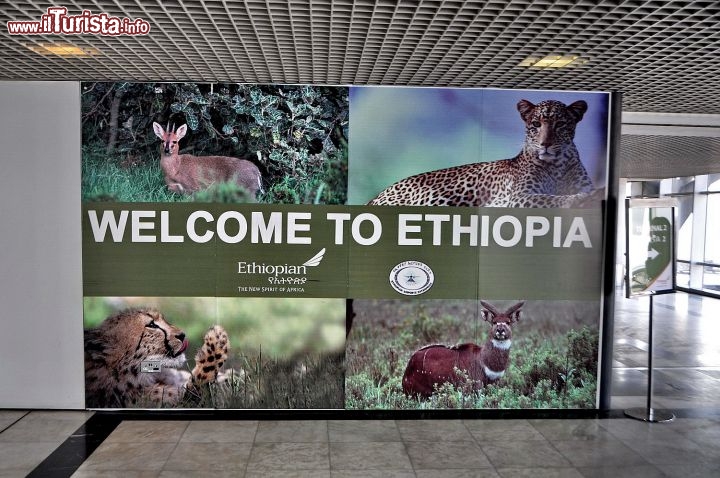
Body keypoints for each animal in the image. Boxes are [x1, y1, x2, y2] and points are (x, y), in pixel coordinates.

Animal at [368, 99, 600, 207]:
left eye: (560, 124)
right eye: (536, 124)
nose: (545, 144)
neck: (557, 165)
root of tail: (378, 195)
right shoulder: (518, 196)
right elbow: (550, 198)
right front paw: (574, 199)